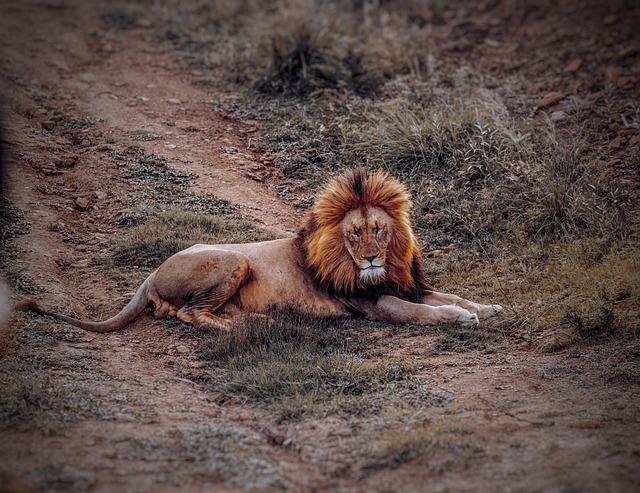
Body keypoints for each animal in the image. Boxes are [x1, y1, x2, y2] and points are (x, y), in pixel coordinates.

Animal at [21, 167, 504, 332]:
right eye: (353, 233)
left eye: (379, 230)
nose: (369, 258)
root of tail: (152, 272)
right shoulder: (375, 304)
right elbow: (423, 312)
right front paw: (461, 318)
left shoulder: (407, 284)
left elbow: (450, 295)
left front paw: (487, 307)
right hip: (235, 258)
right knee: (188, 314)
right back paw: (250, 324)